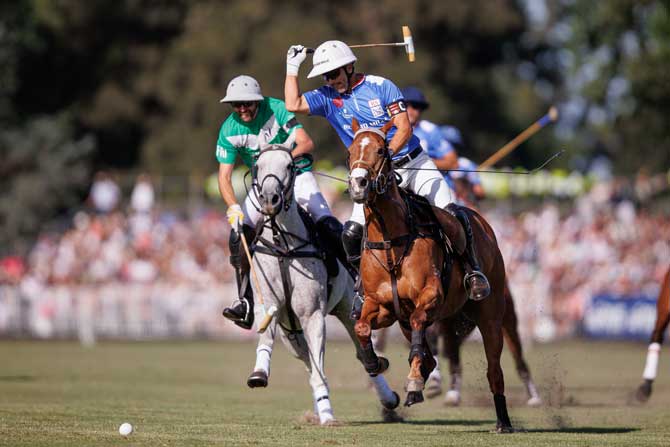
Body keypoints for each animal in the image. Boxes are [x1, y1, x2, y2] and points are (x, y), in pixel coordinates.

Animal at [247, 145, 402, 426]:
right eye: (258, 166)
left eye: (290, 166)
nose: (270, 200)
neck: (283, 244)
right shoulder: (270, 306)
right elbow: (267, 337)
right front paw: (258, 374)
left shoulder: (312, 315)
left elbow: (322, 367)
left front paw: (328, 416)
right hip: (291, 333)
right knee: (309, 360)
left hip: (348, 309)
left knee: (364, 355)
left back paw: (388, 398)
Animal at [350, 120, 512, 434]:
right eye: (351, 151)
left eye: (380, 150)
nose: (358, 183)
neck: (390, 240)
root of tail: (483, 222)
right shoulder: (382, 305)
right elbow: (362, 327)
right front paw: (376, 363)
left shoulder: (430, 296)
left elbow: (418, 327)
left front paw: (414, 382)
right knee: (429, 352)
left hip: (490, 314)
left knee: (494, 370)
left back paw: (503, 421)